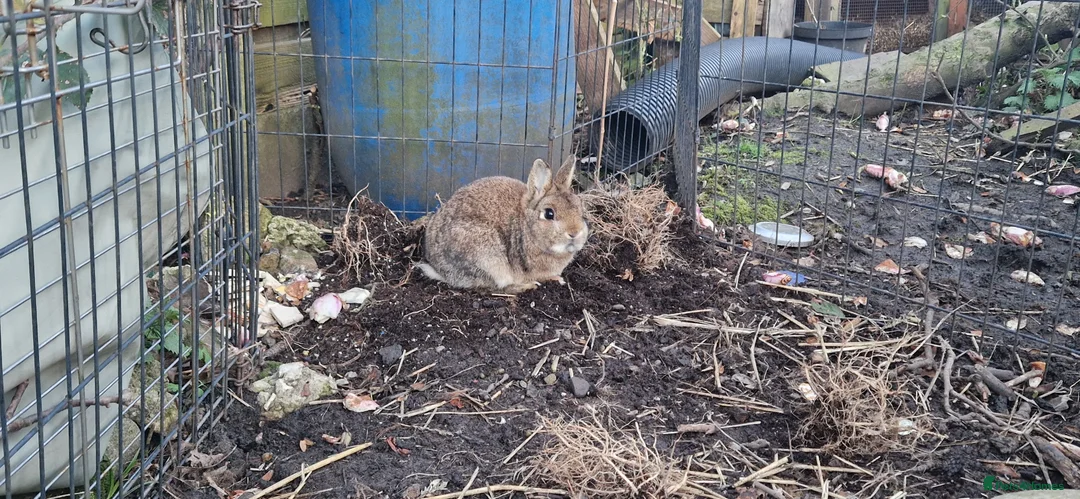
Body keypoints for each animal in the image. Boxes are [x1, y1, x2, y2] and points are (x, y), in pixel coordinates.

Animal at [415, 155, 589, 295]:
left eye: (580, 210)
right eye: (549, 214)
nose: (574, 233)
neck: (527, 228)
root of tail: (438, 267)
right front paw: (555, 280)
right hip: (489, 259)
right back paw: (527, 286)